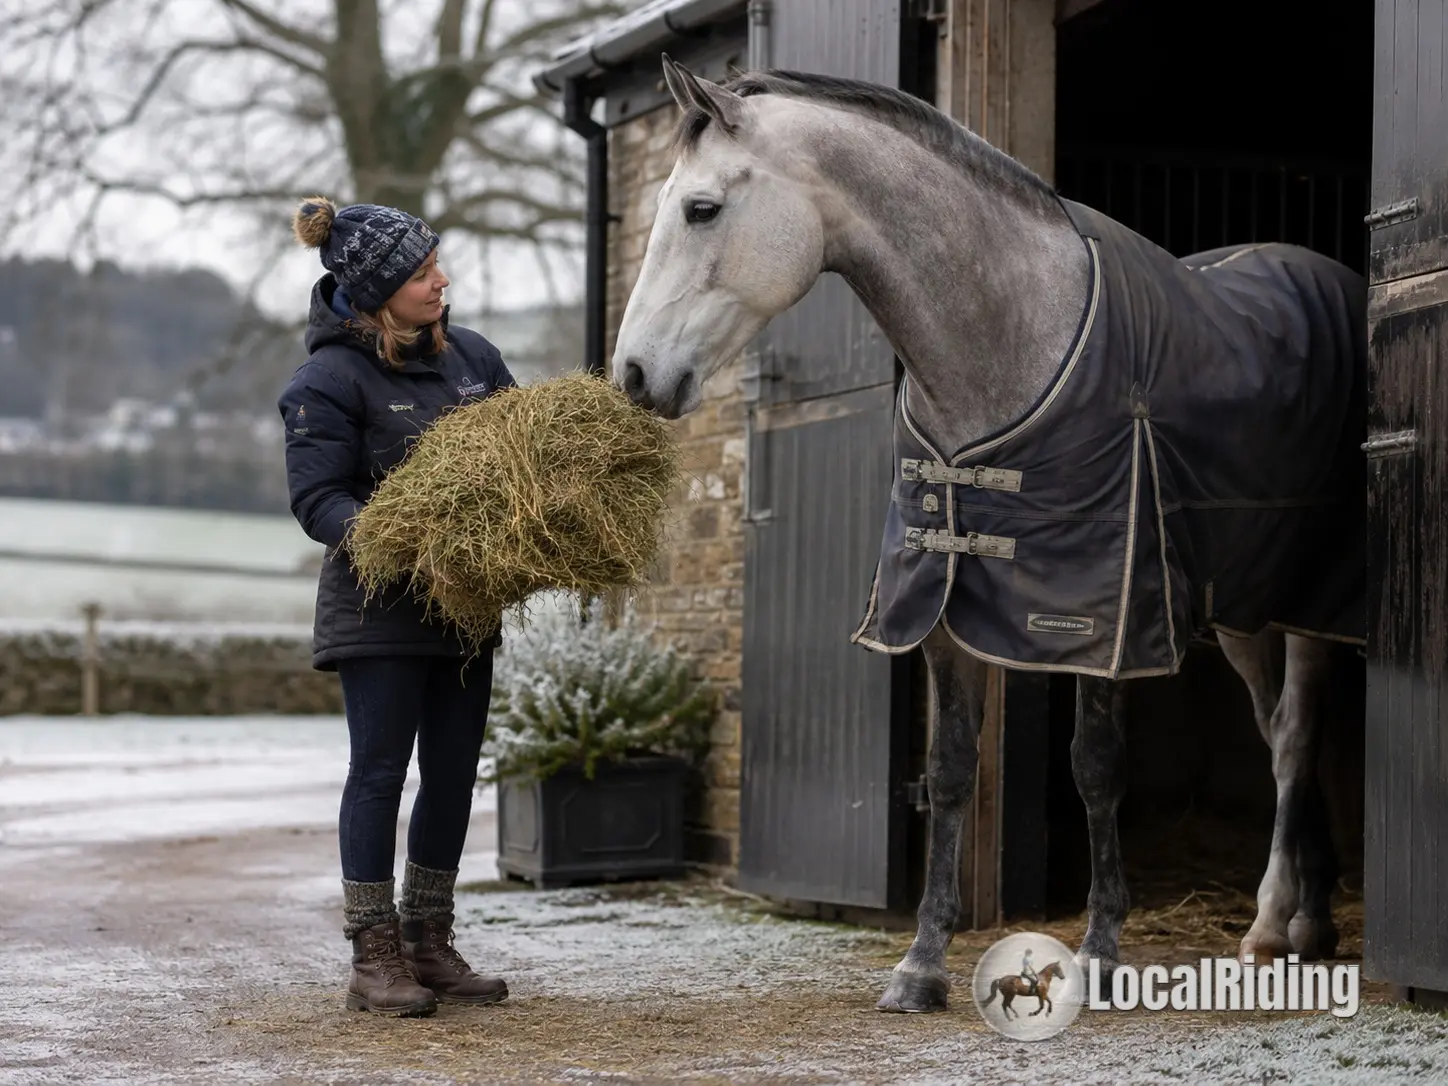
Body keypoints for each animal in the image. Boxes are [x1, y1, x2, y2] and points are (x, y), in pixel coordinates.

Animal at [612, 56, 1366, 1014]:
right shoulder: (941, 607)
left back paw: (1275, 921)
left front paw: (1102, 953)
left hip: (1307, 604)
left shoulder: (1100, 624)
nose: (633, 375)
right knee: (1280, 734)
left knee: (1297, 735)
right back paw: (1306, 918)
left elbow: (1095, 767)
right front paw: (921, 964)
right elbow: (950, 770)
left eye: (702, 208)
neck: (1007, 340)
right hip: (1240, 610)